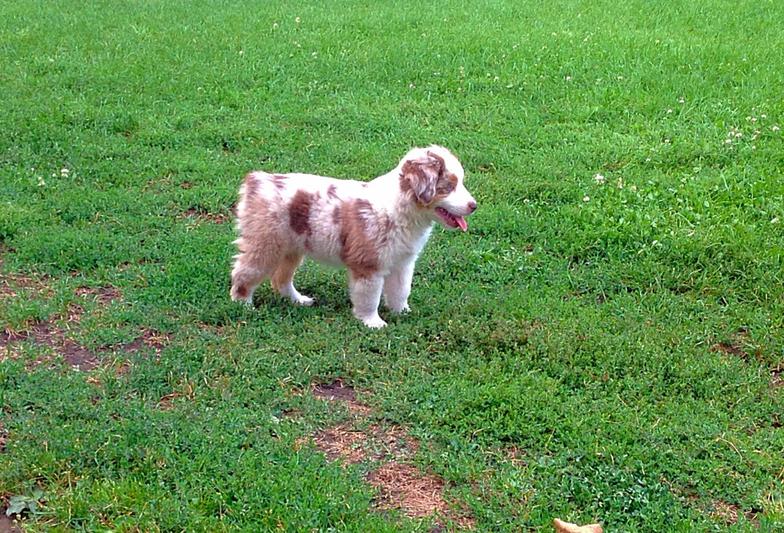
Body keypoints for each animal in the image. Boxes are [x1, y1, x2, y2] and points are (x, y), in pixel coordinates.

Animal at [231, 147, 478, 328]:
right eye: (449, 186)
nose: (474, 206)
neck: (403, 209)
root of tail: (258, 180)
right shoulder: (368, 265)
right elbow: (369, 297)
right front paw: (373, 323)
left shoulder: (403, 263)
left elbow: (401, 290)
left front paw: (403, 312)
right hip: (265, 244)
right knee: (244, 273)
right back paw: (243, 306)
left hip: (292, 249)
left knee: (280, 279)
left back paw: (299, 300)